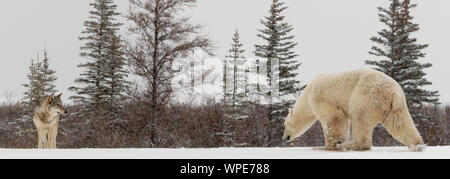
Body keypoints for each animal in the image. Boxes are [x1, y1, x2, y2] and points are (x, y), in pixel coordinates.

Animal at [282, 68, 426, 151]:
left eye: (285, 125)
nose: (284, 138)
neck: (308, 93)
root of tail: (392, 92)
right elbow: (343, 121)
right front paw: (336, 143)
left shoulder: (321, 98)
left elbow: (332, 118)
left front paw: (329, 145)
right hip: (395, 106)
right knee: (400, 123)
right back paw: (418, 144)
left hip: (366, 97)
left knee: (360, 119)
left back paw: (350, 145)